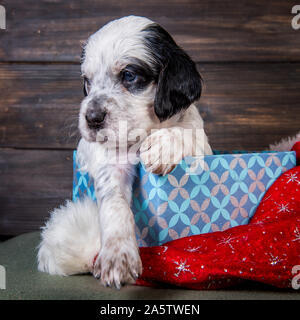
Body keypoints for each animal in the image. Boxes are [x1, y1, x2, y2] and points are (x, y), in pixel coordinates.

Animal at [37, 16, 212, 288]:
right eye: (87, 80)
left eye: (129, 75)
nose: (92, 118)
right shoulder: (111, 164)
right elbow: (114, 204)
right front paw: (117, 255)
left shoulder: (199, 138)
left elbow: (188, 134)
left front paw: (163, 147)